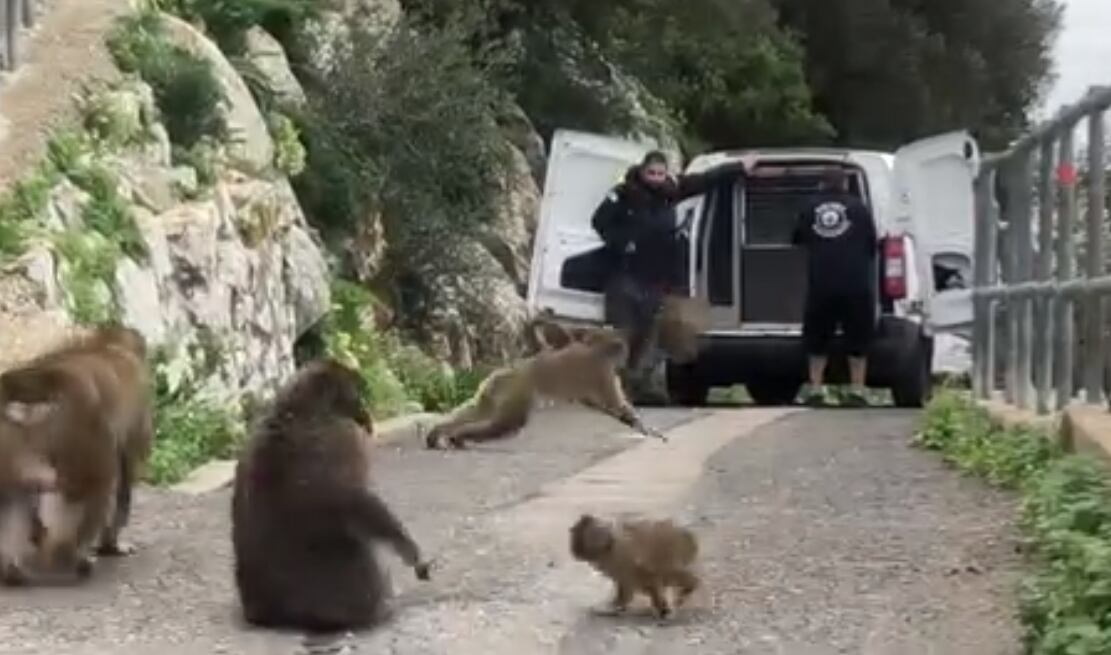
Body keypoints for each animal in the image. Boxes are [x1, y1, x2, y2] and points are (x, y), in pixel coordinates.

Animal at [232, 357, 431, 635]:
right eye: (356, 393)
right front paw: (412, 553)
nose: (365, 411)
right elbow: (358, 502)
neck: (297, 410)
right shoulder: (342, 437)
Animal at [424, 328, 666, 452]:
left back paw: (442, 434)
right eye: (621, 350)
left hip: (493, 391)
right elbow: (615, 405)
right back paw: (461, 437)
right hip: (518, 392)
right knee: (506, 424)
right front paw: (642, 426)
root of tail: (509, 373)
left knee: (477, 411)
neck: (595, 348)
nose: (624, 360)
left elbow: (605, 407)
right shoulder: (601, 371)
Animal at [568, 512, 697, 621]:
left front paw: (614, 606)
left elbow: (634, 579)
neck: (609, 543)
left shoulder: (620, 555)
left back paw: (687, 589)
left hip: (674, 550)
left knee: (665, 572)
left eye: (577, 540)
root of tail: (688, 535)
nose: (575, 553)